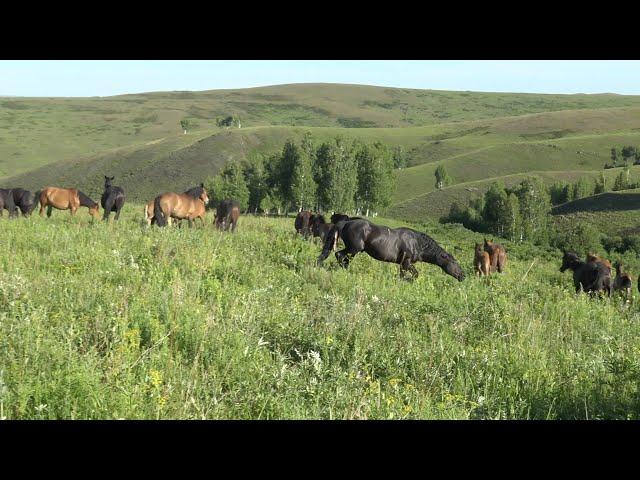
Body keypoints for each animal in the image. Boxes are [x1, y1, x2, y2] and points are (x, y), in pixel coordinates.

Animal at [316, 218, 462, 282]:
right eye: (454, 263)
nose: (463, 276)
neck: (416, 243)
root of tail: (346, 222)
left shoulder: (404, 264)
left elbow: (406, 275)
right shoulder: (406, 262)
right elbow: (412, 275)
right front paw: (407, 281)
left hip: (353, 250)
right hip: (353, 249)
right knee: (339, 255)